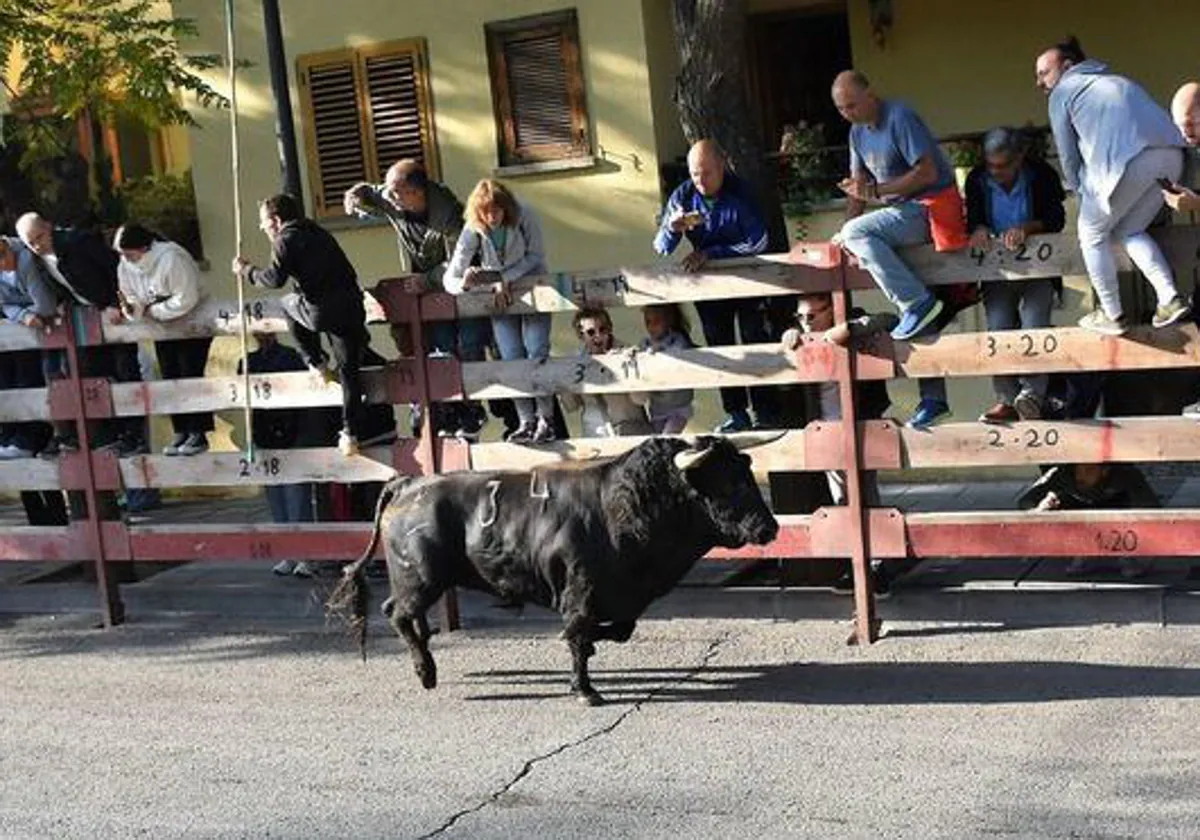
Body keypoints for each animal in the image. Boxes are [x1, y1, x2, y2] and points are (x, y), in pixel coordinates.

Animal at [331, 432, 777, 700]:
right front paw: (585, 689)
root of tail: (409, 484)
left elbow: (619, 630)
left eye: (746, 474)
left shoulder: (622, 597)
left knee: (403, 615)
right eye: (728, 482)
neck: (627, 506)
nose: (769, 527)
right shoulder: (581, 591)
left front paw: (592, 650)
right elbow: (578, 633)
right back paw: (426, 670)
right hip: (420, 578)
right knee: (398, 614)